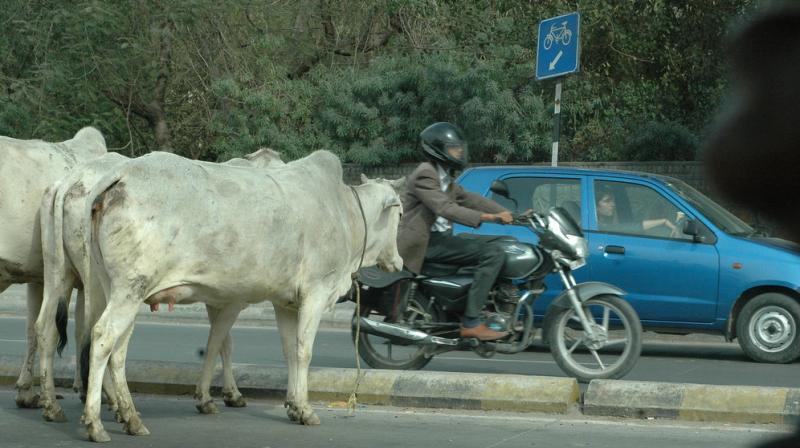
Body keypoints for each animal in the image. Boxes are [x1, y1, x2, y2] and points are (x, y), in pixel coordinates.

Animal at [0, 126, 107, 406]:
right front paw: (89, 389)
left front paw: (26, 391)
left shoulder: (38, 278)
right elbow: (83, 328)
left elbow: (33, 329)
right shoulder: (86, 280)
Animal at [34, 148, 286, 424]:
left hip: (59, 274)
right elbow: (221, 343)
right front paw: (223, 396)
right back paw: (111, 404)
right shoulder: (232, 300)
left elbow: (221, 342)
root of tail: (69, 181)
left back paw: (55, 404)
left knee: (50, 328)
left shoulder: (216, 299)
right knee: (94, 334)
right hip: (102, 284)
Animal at [77, 150, 404, 440]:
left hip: (118, 288)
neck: (346, 214)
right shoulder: (316, 291)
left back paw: (131, 418)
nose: (399, 262)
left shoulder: (286, 302)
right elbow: (303, 351)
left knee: (118, 349)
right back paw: (95, 423)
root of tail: (120, 174)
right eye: (400, 212)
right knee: (103, 337)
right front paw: (306, 409)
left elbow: (289, 351)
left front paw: (292, 405)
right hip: (130, 289)